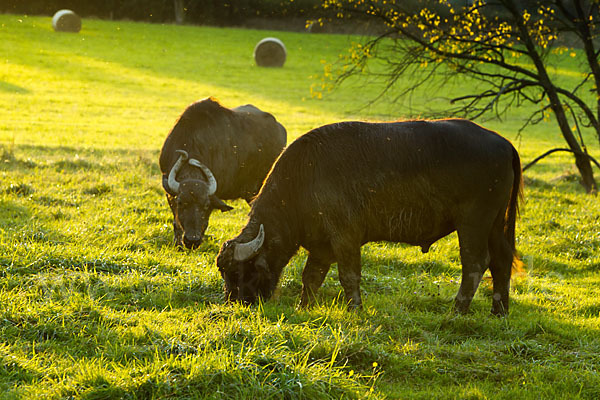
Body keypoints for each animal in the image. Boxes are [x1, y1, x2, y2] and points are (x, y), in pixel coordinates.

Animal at [161, 98, 288, 248]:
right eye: (181, 202)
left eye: (205, 205)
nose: (192, 240)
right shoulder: (169, 192)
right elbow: (176, 222)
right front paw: (178, 244)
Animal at [218, 119, 524, 316]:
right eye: (225, 272)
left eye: (240, 271)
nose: (237, 302)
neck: (305, 177)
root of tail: (503, 142)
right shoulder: (322, 245)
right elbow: (311, 277)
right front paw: (304, 307)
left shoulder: (345, 237)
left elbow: (348, 276)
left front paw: (355, 309)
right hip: (495, 223)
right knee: (501, 260)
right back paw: (499, 311)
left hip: (473, 223)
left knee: (475, 263)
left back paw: (457, 310)